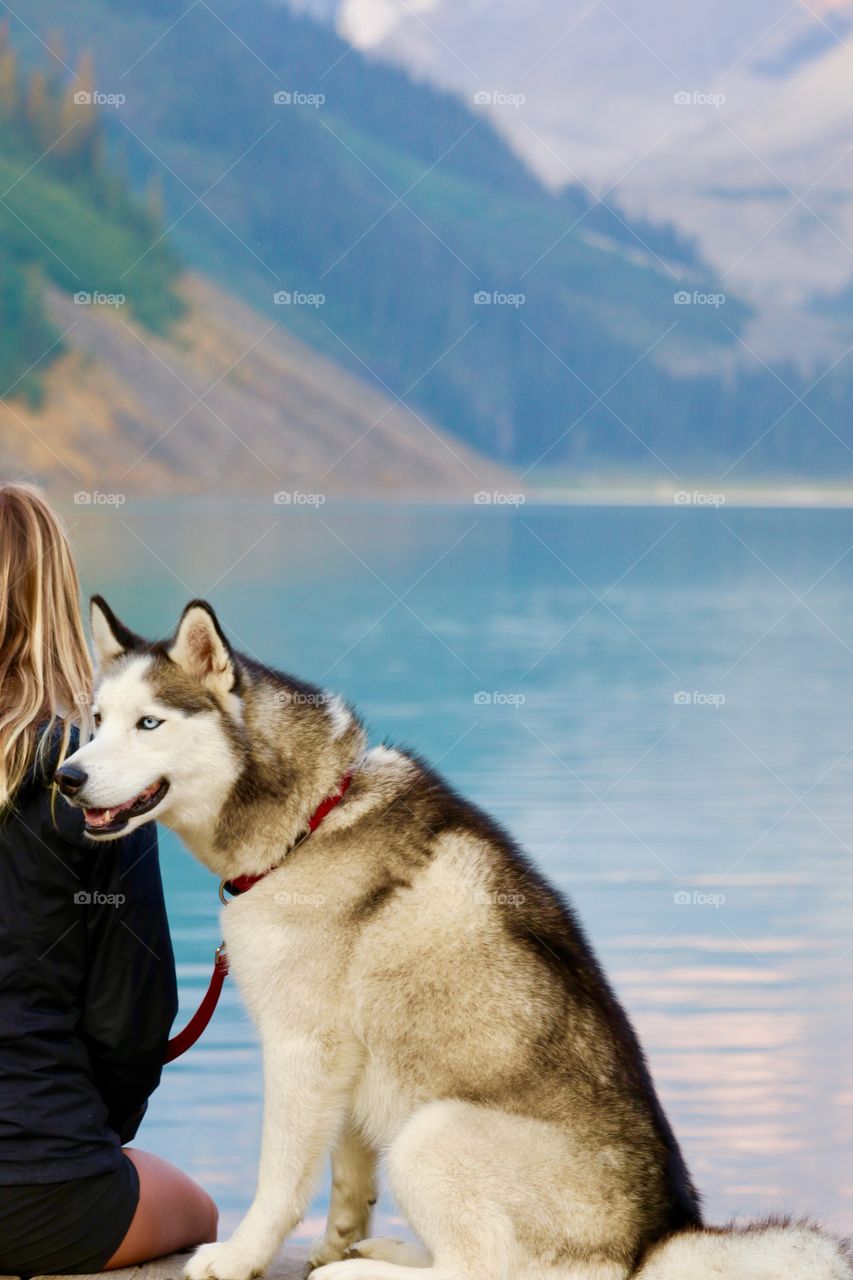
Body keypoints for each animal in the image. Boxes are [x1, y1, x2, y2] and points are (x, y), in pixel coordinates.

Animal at [56, 599, 845, 1280]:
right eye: (96, 720)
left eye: (149, 723)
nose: (67, 776)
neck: (310, 822)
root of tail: (652, 1243)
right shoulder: (347, 1057)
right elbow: (347, 1172)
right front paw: (334, 1240)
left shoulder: (301, 1045)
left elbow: (280, 1178)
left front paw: (242, 1256)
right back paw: (377, 1253)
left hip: (431, 1130)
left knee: (480, 1270)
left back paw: (362, 1273)